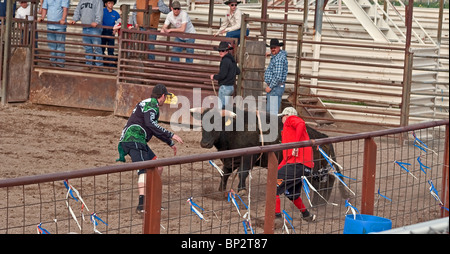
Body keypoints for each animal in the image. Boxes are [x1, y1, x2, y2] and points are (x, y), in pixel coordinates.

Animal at [189, 107, 348, 204]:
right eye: (202, 123)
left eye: (216, 123)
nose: (204, 143)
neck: (235, 130)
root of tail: (322, 136)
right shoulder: (231, 159)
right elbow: (225, 174)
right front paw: (220, 191)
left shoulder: (247, 158)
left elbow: (242, 173)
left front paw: (241, 190)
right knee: (329, 180)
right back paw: (320, 204)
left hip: (312, 168)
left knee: (322, 183)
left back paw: (317, 204)